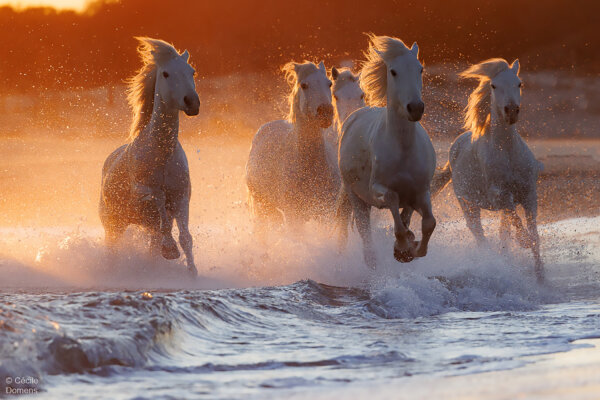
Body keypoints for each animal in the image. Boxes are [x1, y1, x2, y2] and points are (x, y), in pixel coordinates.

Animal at [99, 37, 200, 276]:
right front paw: (170, 249)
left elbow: (186, 238)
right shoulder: (143, 192)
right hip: (113, 224)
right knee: (113, 248)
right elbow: (159, 202)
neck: (160, 154)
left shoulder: (182, 198)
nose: (192, 102)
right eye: (165, 73)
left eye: (191, 71)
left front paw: (193, 274)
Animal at [245, 59, 338, 231]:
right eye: (304, 85)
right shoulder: (294, 217)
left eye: (329, 83)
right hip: (263, 208)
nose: (326, 112)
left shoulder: (327, 215)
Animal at [338, 35, 436, 268]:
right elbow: (392, 199)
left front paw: (411, 248)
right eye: (393, 71)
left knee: (407, 215)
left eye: (420, 69)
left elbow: (429, 223)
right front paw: (401, 247)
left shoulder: (421, 191)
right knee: (365, 236)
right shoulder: (377, 189)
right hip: (356, 197)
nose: (415, 108)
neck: (403, 149)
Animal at [432, 57, 544, 280]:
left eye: (519, 83)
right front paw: (523, 241)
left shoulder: (529, 194)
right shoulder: (499, 195)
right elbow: (515, 217)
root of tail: (455, 147)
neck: (508, 152)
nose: (511, 111)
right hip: (468, 204)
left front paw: (540, 276)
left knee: (501, 231)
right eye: (493, 85)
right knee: (479, 234)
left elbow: (533, 233)